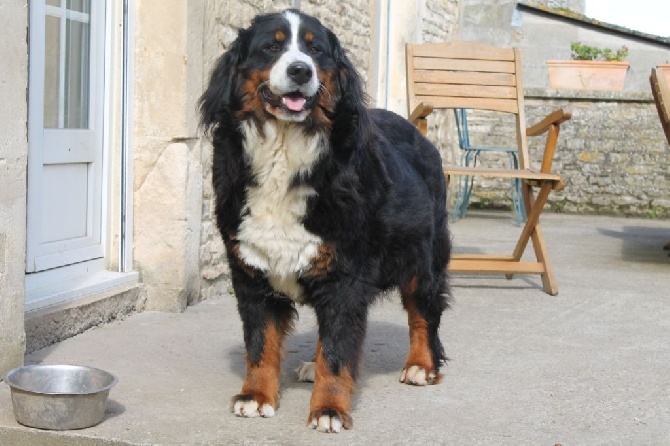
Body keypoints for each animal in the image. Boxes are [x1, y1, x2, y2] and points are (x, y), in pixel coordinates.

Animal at [198, 7, 452, 432]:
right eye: (272, 47)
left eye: (315, 50)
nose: (301, 70)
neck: (284, 153)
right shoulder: (251, 269)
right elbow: (260, 342)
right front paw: (256, 396)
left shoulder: (345, 275)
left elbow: (337, 350)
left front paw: (329, 408)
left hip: (424, 257)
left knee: (424, 314)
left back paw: (421, 365)